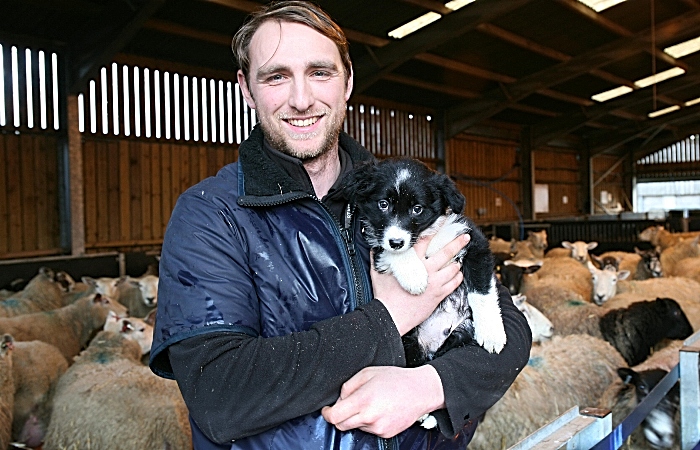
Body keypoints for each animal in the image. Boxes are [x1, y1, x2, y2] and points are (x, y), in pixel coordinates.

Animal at [342, 156, 506, 366]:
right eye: (383, 204)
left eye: (417, 209)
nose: (396, 242)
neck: (426, 235)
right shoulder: (378, 247)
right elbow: (392, 251)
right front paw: (415, 276)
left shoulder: (472, 242)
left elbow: (482, 292)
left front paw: (491, 334)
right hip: (409, 342)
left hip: (461, 331)